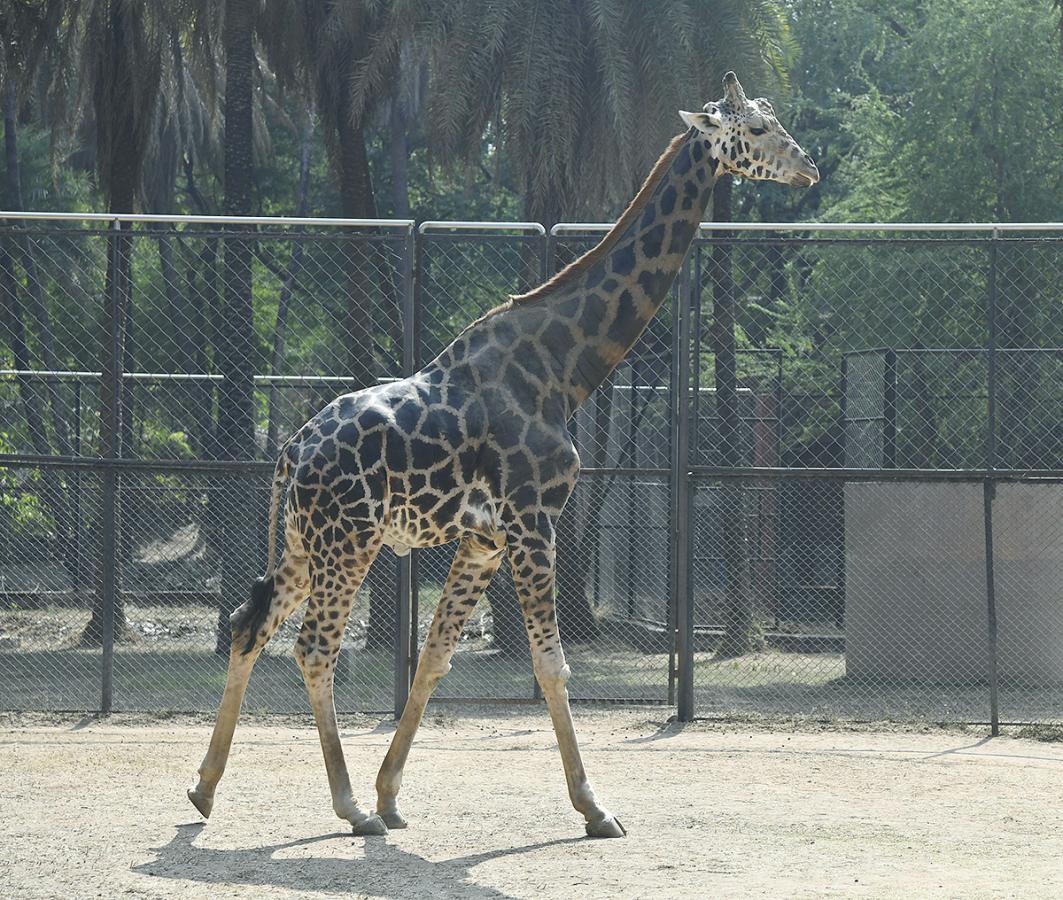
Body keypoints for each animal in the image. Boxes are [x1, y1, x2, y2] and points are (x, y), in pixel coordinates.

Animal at [189, 72, 820, 837]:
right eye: (755, 130)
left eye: (775, 120)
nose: (808, 167)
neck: (564, 367)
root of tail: (289, 450)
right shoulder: (531, 521)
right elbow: (551, 666)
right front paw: (594, 807)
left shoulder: (484, 539)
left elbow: (435, 657)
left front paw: (392, 793)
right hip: (349, 542)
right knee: (314, 649)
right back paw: (346, 806)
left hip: (303, 545)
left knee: (247, 625)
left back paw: (206, 790)